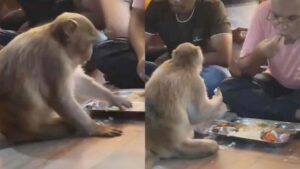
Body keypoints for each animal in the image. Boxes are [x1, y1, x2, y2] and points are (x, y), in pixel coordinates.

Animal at [0, 12, 132, 143]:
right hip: (34, 131)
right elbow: (61, 99)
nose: (89, 54)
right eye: (90, 43)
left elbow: (79, 82)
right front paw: (96, 128)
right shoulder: (55, 59)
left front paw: (115, 98)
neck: (56, 40)